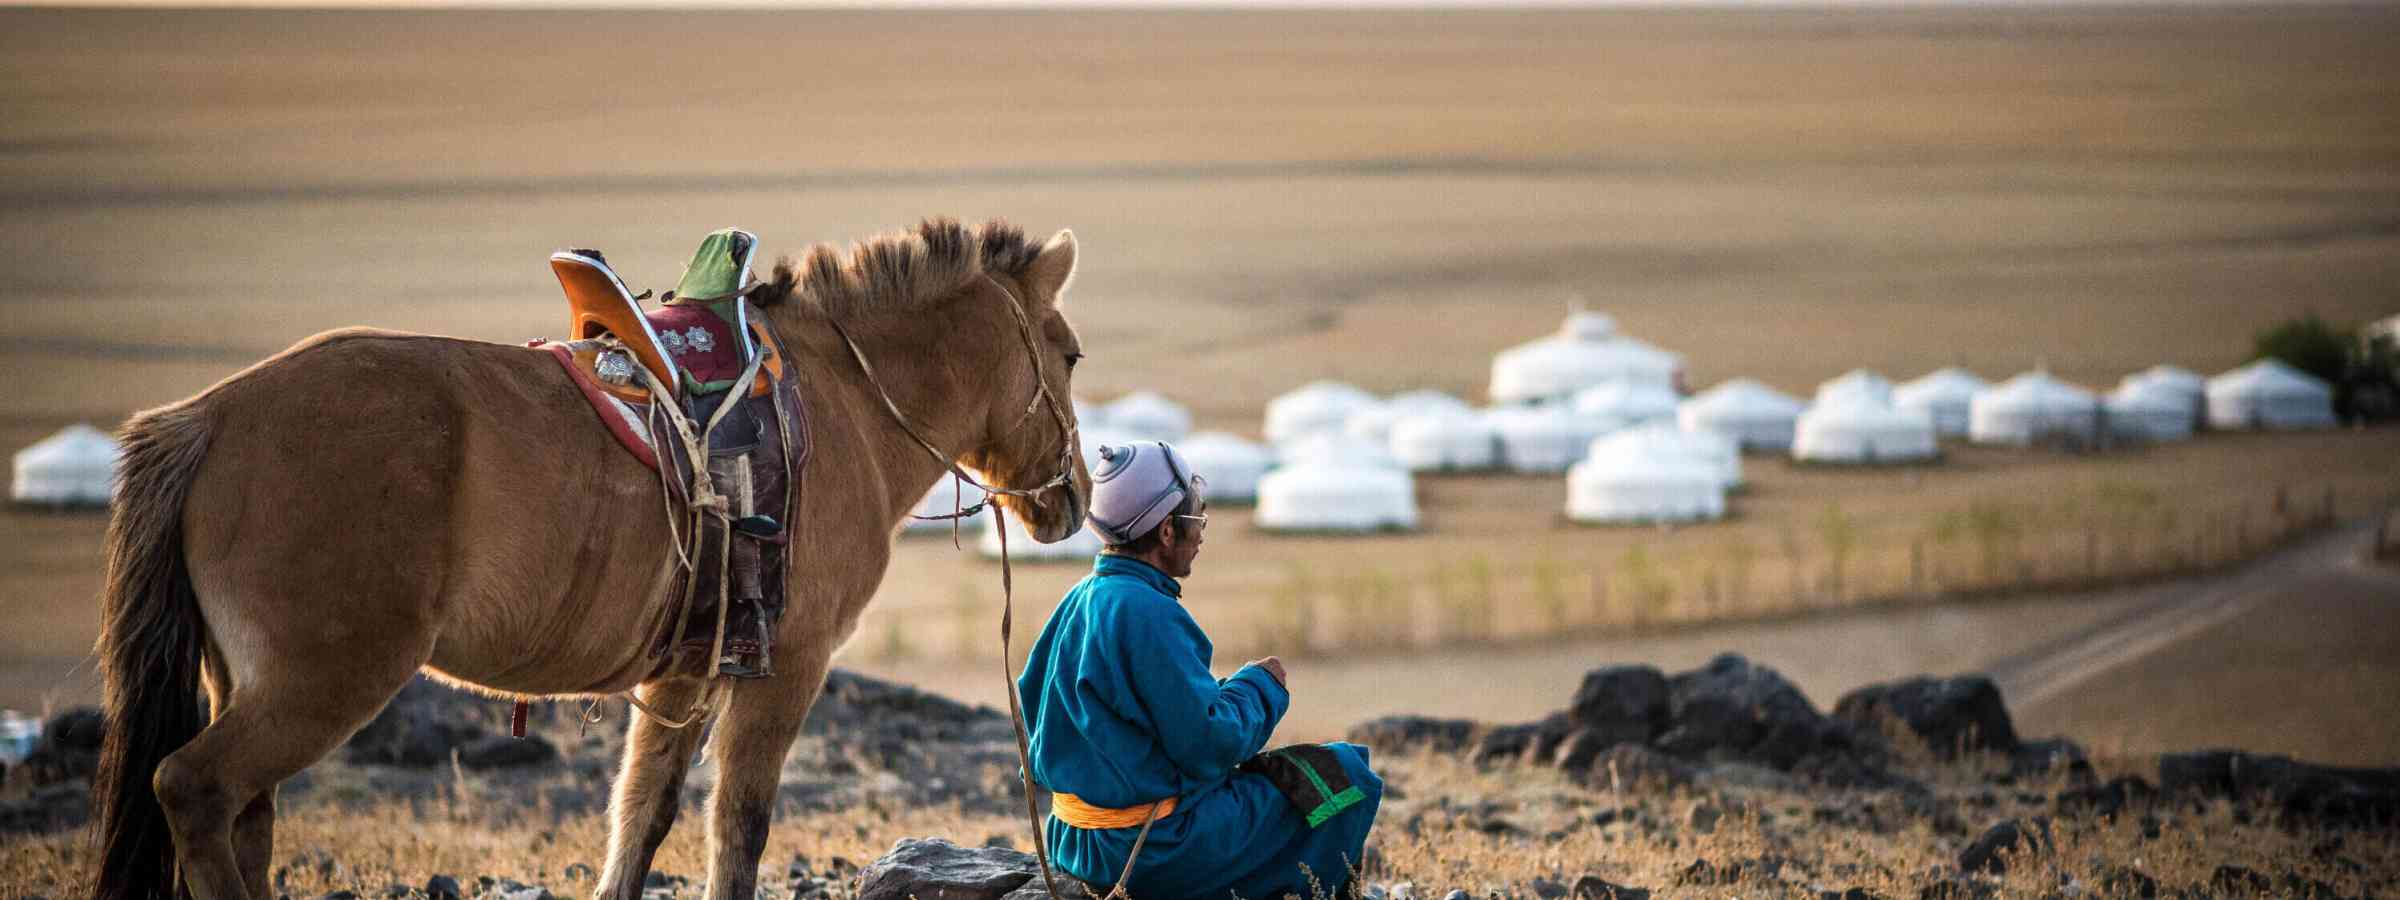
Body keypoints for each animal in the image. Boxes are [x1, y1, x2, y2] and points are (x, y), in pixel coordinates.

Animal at [87, 218, 1093, 900]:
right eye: (1072, 354)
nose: (1073, 500)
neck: (841, 401)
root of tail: (208, 417)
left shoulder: (689, 672)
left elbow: (640, 818)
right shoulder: (786, 669)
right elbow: (739, 828)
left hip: (249, 679)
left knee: (247, 818)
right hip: (323, 680)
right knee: (194, 788)